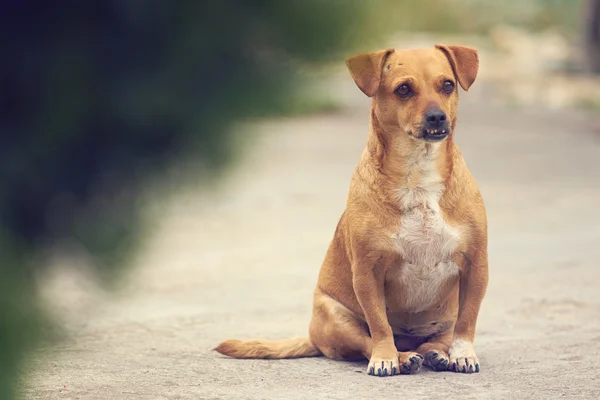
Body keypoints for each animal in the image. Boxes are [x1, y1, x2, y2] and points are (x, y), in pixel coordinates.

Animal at [214, 43, 488, 376]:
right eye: (404, 89)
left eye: (447, 85)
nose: (437, 117)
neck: (418, 173)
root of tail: (313, 337)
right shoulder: (367, 273)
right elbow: (380, 325)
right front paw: (385, 358)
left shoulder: (476, 266)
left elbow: (467, 321)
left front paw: (463, 354)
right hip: (337, 318)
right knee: (368, 341)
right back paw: (402, 356)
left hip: (445, 314)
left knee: (436, 339)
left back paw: (437, 354)